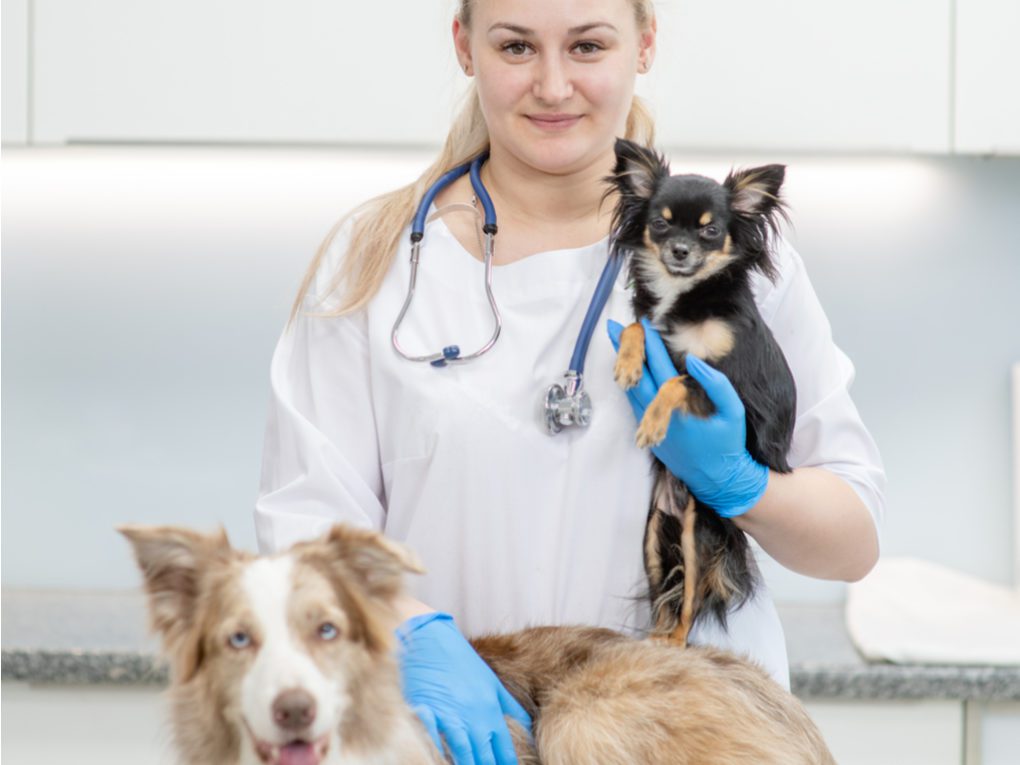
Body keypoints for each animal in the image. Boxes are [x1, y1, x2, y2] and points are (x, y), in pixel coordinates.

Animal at [603, 139, 795, 648]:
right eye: (661, 223)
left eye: (711, 232)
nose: (681, 250)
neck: (683, 292)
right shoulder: (657, 332)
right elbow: (639, 327)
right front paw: (628, 364)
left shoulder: (729, 391)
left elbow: (677, 380)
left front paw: (652, 422)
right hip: (654, 536)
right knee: (663, 603)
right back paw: (652, 640)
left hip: (697, 533)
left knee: (688, 606)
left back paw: (673, 644)